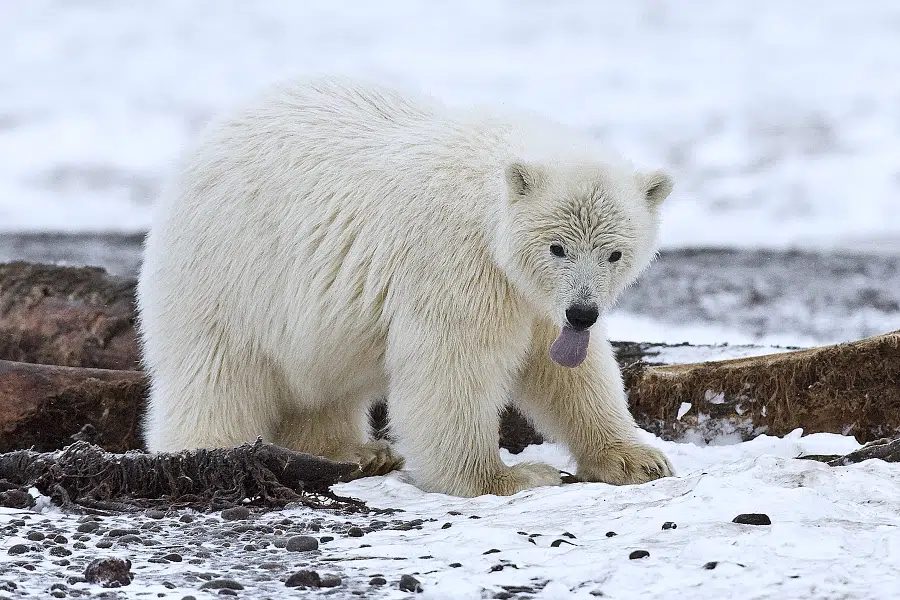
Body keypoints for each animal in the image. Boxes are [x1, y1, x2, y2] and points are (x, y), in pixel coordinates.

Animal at [137, 76, 675, 497]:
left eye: (615, 253)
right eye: (557, 247)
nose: (583, 313)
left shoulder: (533, 297)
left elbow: (567, 369)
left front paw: (638, 459)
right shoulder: (456, 259)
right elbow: (452, 365)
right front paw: (506, 477)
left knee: (323, 385)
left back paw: (357, 452)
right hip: (226, 273)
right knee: (216, 375)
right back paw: (207, 455)